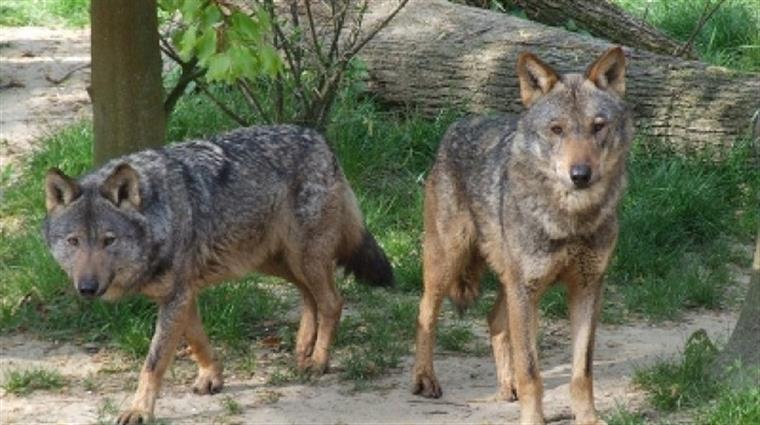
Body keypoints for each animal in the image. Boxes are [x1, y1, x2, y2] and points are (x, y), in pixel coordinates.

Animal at [42, 124, 394, 422]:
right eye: (74, 241)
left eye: (108, 240)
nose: (87, 287)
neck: (161, 217)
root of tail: (319, 138)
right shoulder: (183, 295)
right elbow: (197, 340)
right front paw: (212, 377)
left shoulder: (177, 296)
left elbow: (153, 363)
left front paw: (139, 410)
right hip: (271, 260)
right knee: (308, 295)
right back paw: (302, 348)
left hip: (302, 257)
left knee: (332, 301)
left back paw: (319, 360)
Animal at [412, 47, 632, 424]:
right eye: (556, 129)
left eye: (597, 127)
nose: (580, 174)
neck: (570, 220)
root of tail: (458, 124)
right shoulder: (526, 289)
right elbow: (532, 371)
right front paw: (533, 419)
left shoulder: (588, 287)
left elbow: (582, 372)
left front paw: (588, 418)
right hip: (451, 263)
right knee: (425, 312)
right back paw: (426, 380)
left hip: (512, 283)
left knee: (494, 321)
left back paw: (507, 386)